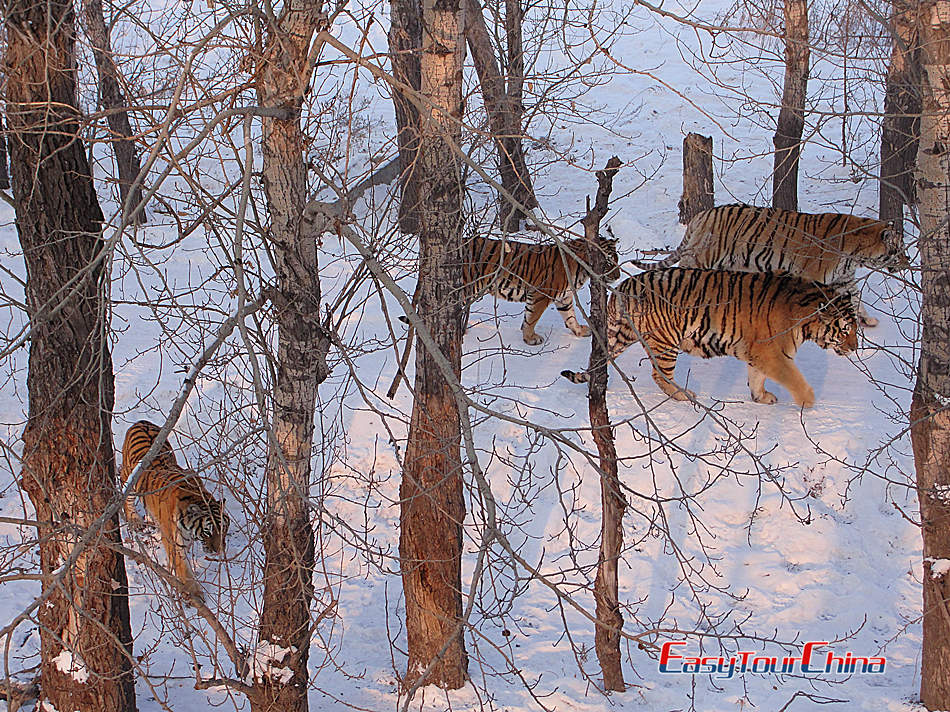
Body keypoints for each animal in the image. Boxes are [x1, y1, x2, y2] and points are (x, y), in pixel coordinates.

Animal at [121, 418, 229, 600]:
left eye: (223, 529)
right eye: (208, 532)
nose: (218, 551)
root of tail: (141, 421)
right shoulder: (173, 540)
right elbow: (182, 566)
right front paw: (194, 593)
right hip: (130, 480)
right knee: (125, 499)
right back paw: (135, 520)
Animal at [462, 234, 624, 344]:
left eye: (617, 260)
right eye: (608, 262)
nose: (618, 276)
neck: (581, 270)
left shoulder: (564, 297)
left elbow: (570, 316)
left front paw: (579, 330)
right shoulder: (541, 294)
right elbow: (532, 318)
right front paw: (530, 338)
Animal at [560, 268, 860, 406]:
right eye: (846, 329)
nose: (856, 347)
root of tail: (623, 288)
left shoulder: (758, 352)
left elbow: (756, 377)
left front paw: (760, 397)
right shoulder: (773, 353)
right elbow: (794, 378)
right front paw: (808, 402)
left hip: (624, 335)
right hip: (666, 341)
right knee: (659, 374)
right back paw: (683, 395)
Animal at [636, 203, 912, 328]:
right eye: (899, 250)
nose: (908, 263)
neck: (854, 253)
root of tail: (701, 215)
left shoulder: (844, 279)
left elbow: (856, 298)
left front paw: (866, 320)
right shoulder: (818, 277)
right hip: (702, 258)